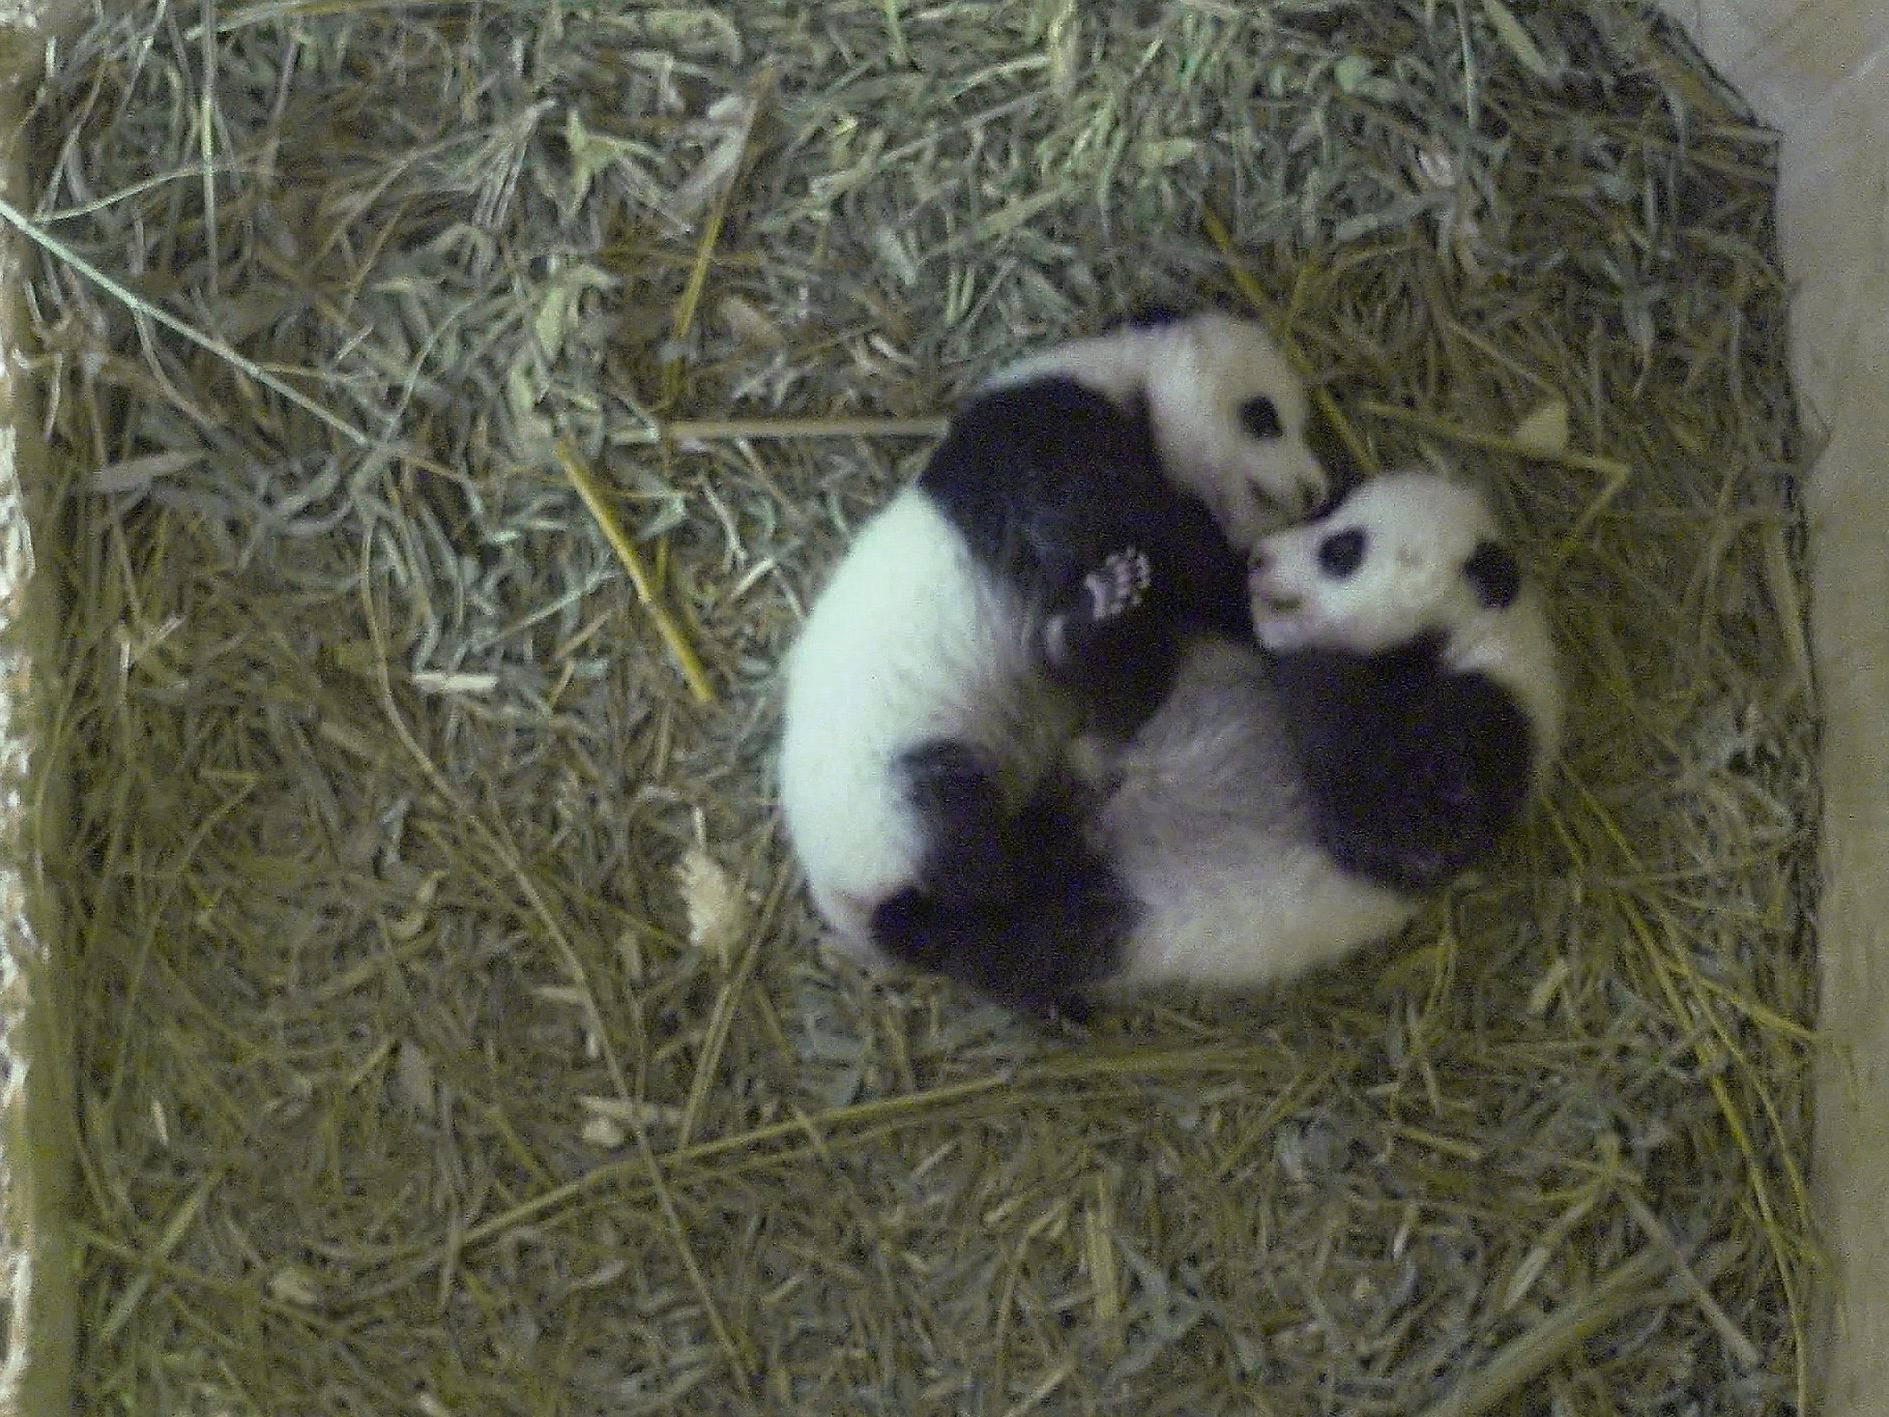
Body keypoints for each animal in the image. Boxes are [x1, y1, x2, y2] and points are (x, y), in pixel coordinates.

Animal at [778, 312, 1329, 950]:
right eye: (1264, 416)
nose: (1313, 490)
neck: (1124, 375)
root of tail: (846, 907)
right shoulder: (1048, 435)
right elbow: (1132, 526)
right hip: (888, 791)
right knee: (977, 864)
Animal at [867, 470, 1564, 1017]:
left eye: (1342, 550)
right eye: (1321, 511)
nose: (1260, 558)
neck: (1464, 635)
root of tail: (1091, 797)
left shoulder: (1493, 727)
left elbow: (1399, 816)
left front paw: (1313, 652)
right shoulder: (1230, 634)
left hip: (1122, 910)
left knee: (1023, 932)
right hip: (1150, 711)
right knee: (1128, 688)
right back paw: (1096, 616)